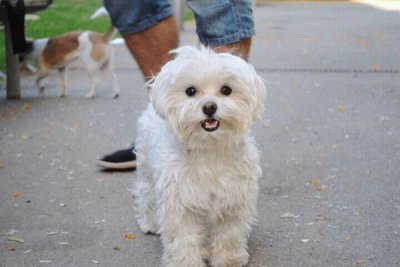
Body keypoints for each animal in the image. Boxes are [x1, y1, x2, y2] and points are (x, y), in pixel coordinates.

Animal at [134, 46, 266, 267]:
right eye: (190, 91)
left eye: (226, 90)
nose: (209, 107)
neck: (209, 148)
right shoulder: (180, 201)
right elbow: (184, 236)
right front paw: (185, 261)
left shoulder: (233, 197)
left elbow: (229, 232)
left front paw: (228, 258)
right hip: (147, 170)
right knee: (146, 194)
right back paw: (150, 223)